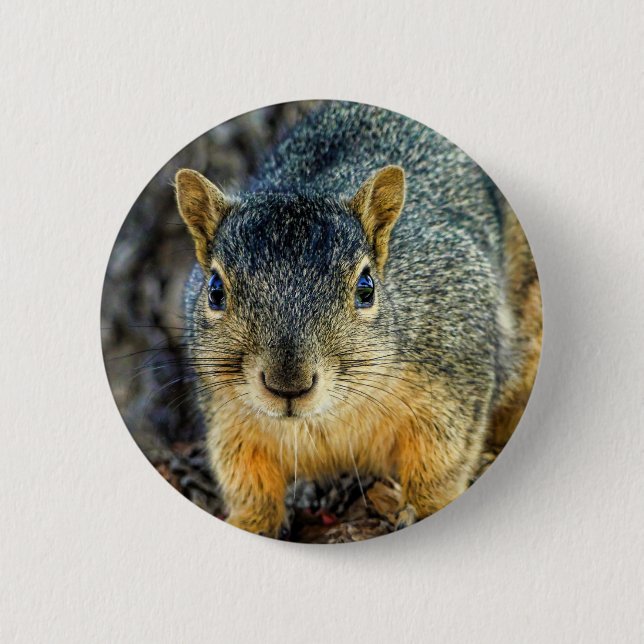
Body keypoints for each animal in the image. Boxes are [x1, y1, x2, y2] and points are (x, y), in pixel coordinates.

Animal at [174, 101, 542, 537]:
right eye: (215, 290)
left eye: (366, 288)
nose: (288, 385)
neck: (327, 418)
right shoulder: (230, 420)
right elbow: (248, 481)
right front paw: (248, 522)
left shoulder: (456, 369)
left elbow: (440, 461)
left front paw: (426, 508)